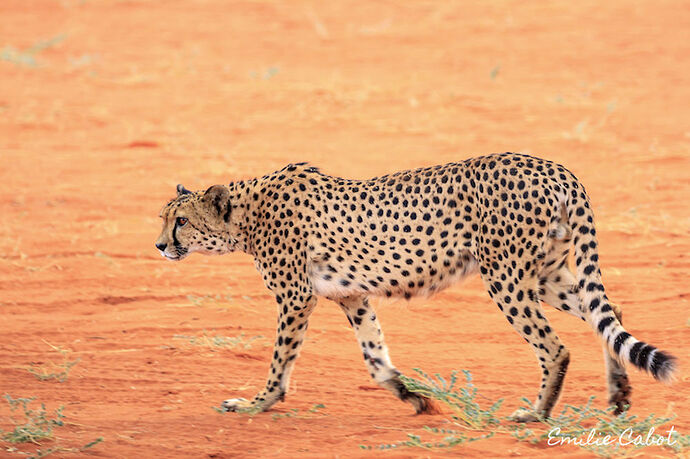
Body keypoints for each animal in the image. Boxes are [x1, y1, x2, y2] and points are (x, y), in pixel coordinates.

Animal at [155, 153, 672, 422]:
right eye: (165, 218)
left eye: (181, 221)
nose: (160, 245)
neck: (244, 214)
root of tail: (553, 167)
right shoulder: (351, 295)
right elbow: (374, 356)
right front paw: (412, 397)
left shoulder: (296, 297)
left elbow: (280, 361)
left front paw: (255, 404)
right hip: (545, 274)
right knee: (611, 315)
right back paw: (619, 394)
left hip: (506, 277)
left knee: (555, 346)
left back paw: (536, 415)